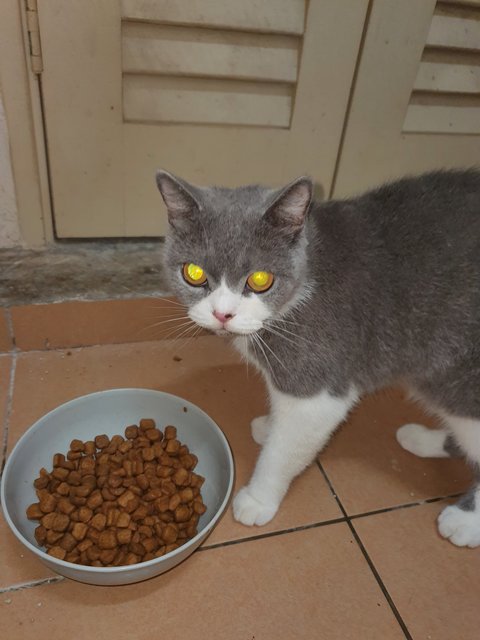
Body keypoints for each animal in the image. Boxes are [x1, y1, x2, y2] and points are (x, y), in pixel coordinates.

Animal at [157, 168, 480, 548]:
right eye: (193, 273)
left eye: (261, 279)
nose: (223, 314)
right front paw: (270, 426)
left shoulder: (317, 385)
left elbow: (286, 449)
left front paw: (258, 499)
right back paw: (421, 439)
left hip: (459, 377)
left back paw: (464, 522)